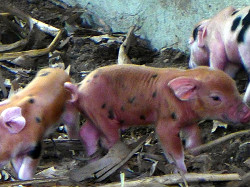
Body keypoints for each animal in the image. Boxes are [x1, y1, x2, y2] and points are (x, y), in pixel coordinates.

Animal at [66, 64, 250, 173]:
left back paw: (94, 161)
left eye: (235, 87)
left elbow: (194, 137)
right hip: (103, 117)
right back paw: (125, 169)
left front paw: (196, 153)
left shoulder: (188, 121)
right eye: (216, 97)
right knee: (109, 142)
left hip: (93, 115)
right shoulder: (166, 122)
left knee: (87, 133)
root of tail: (79, 88)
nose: (247, 112)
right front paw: (183, 171)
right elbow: (170, 144)